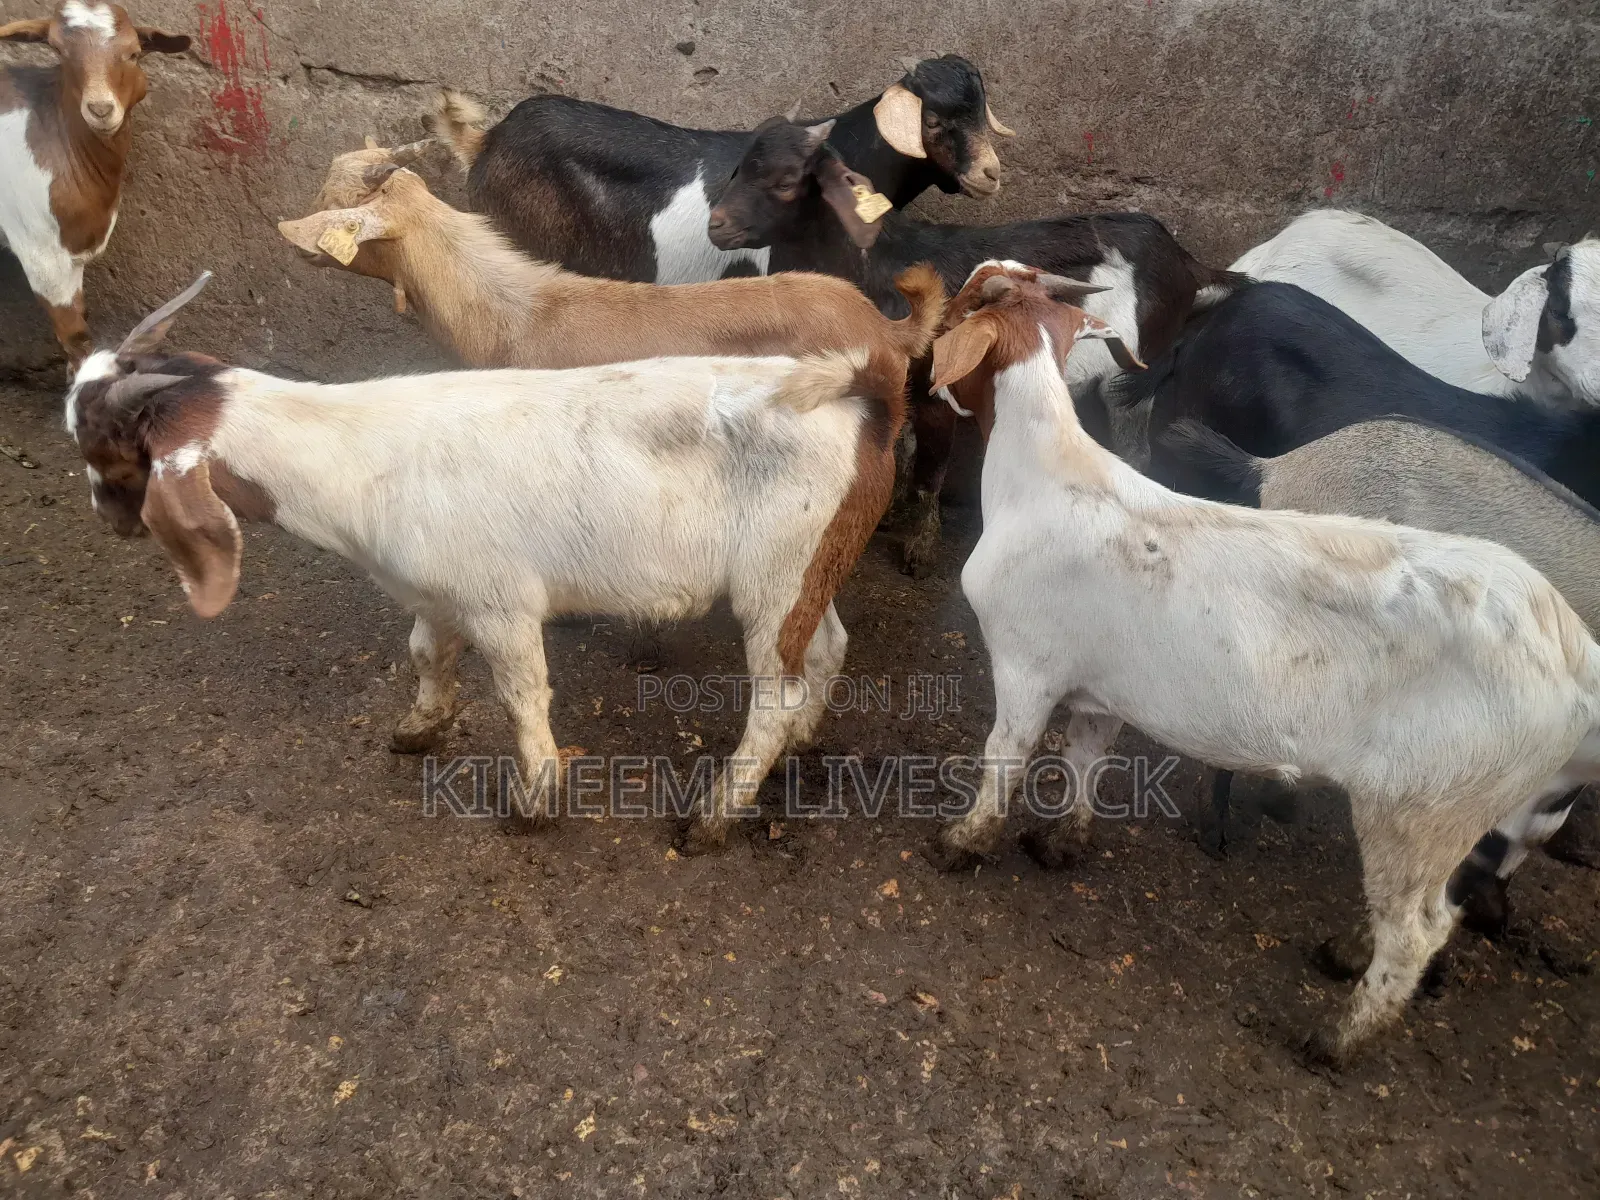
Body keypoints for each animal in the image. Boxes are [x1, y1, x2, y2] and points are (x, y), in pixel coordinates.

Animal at [64, 274, 914, 855]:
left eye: (108, 450)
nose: (106, 521)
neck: (353, 455)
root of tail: (868, 395)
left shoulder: (500, 602)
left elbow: (520, 697)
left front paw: (535, 803)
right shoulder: (434, 593)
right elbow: (424, 655)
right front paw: (418, 729)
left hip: (776, 576)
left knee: (772, 695)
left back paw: (713, 817)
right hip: (810, 565)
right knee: (827, 648)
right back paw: (801, 742)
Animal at [705, 115, 1243, 575]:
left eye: (785, 181)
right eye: (738, 169)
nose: (716, 225)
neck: (879, 264)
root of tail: (1188, 263)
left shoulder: (937, 389)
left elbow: (932, 466)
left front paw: (920, 546)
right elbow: (902, 444)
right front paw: (892, 511)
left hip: (1136, 370)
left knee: (1135, 443)